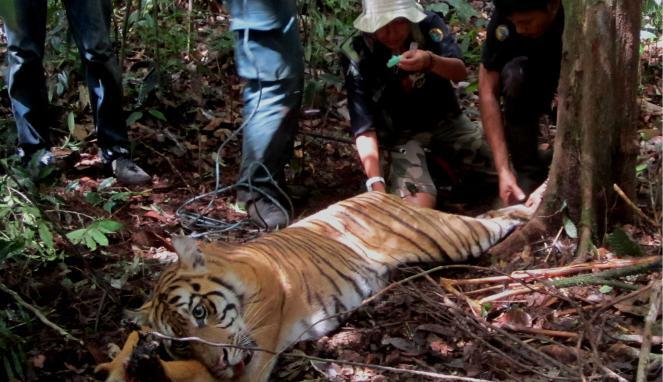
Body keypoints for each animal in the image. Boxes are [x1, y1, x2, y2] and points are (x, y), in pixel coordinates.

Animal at [96, 192, 532, 382]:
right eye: (178, 343)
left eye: (200, 312)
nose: (219, 363)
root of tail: (378, 191)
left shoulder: (255, 354)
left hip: (452, 237)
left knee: (497, 220)